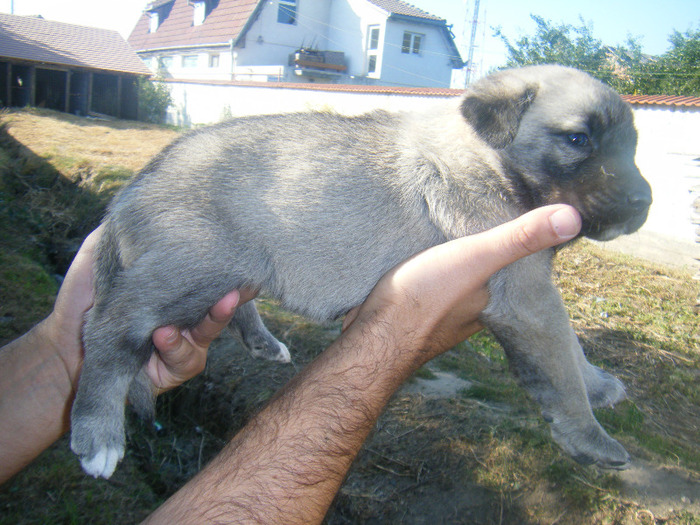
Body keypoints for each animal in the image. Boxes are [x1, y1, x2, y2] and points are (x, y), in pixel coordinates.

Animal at [69, 65, 652, 478]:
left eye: (632, 146)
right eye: (578, 140)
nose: (643, 202)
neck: (486, 158)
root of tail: (131, 191)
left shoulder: (535, 291)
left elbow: (572, 347)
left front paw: (598, 384)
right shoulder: (527, 296)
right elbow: (560, 365)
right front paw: (590, 434)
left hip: (231, 268)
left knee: (234, 304)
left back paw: (263, 342)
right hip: (190, 269)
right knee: (106, 329)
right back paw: (98, 434)